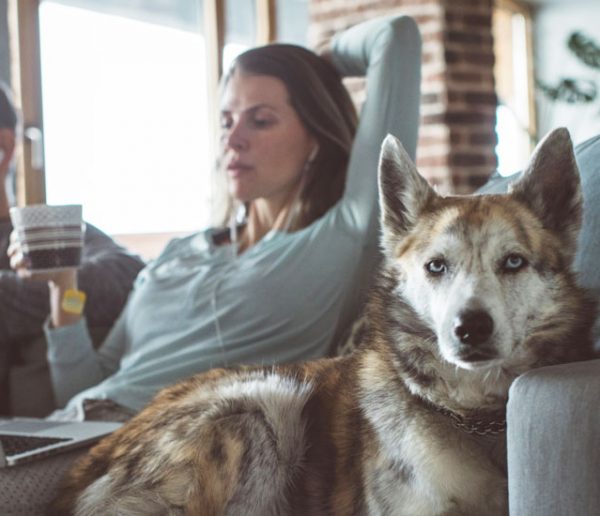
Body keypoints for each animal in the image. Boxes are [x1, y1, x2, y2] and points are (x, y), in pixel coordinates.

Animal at [50, 128, 596, 516]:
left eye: (513, 262)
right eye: (436, 266)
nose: (470, 329)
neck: (476, 416)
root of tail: (78, 475)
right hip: (262, 403)